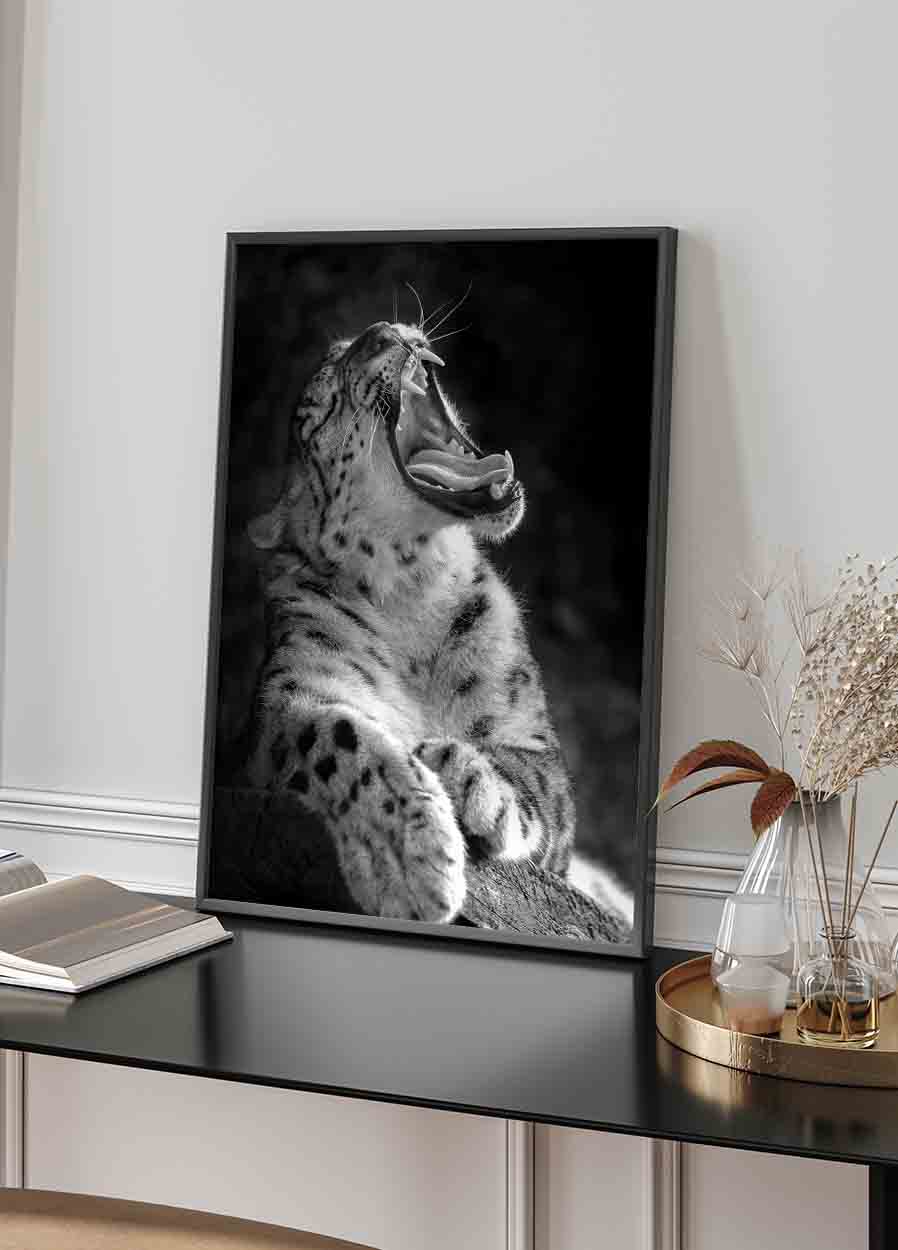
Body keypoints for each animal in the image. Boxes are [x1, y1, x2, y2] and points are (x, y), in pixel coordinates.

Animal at [244, 317, 578, 924]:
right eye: (322, 408)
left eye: (345, 346)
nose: (381, 331)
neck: (414, 597)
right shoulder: (290, 698)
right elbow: (340, 733)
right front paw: (410, 858)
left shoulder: (533, 738)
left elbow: (531, 775)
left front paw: (466, 773)